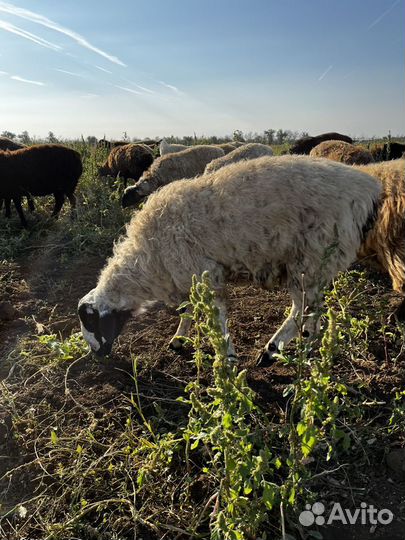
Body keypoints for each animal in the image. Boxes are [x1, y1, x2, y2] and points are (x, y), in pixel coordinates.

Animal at [79, 156, 382, 368]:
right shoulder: (184, 277)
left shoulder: (203, 271)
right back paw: (304, 350)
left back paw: (272, 350)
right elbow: (187, 311)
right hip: (316, 264)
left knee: (302, 308)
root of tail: (368, 189)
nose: (98, 356)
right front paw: (178, 339)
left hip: (311, 257)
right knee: (313, 313)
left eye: (91, 323)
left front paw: (227, 356)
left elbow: (216, 314)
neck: (147, 258)